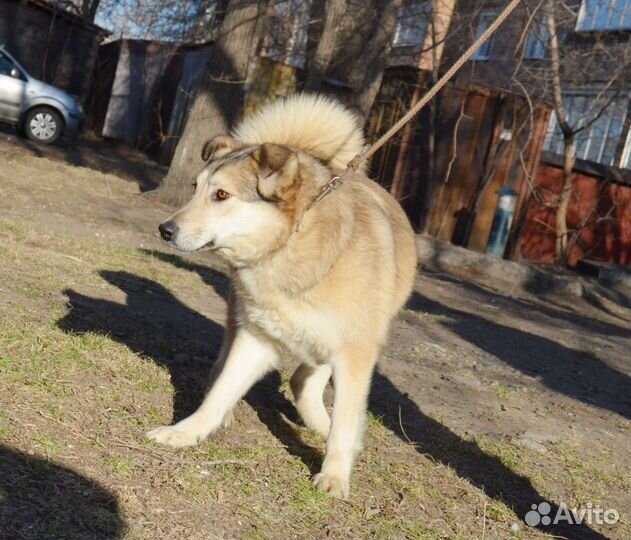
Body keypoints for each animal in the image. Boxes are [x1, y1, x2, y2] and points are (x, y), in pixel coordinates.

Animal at [146, 95, 418, 500]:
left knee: (311, 384)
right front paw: (185, 432)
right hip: (243, 319)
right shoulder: (256, 339)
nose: (165, 230)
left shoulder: (355, 353)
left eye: (221, 195)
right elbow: (220, 392)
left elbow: (345, 419)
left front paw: (335, 475)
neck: (289, 243)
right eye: (194, 188)